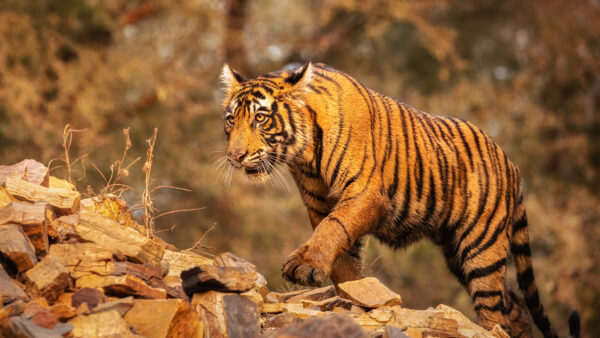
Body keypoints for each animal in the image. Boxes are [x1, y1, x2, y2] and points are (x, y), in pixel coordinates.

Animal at [218, 61, 580, 338]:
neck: (304, 154)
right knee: (514, 305)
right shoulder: (319, 202)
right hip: (457, 253)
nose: (235, 157)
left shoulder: (365, 192)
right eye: (230, 120)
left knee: (495, 310)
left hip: (482, 247)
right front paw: (356, 293)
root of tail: (512, 164)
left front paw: (304, 266)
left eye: (261, 118)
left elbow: (334, 227)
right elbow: (339, 249)